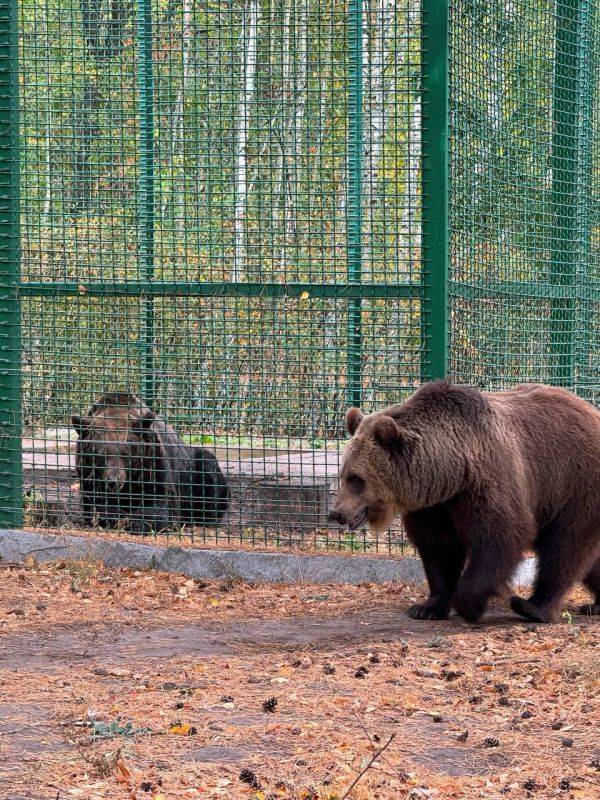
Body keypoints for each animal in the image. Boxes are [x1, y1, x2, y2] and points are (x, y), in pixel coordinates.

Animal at [71, 392, 230, 532]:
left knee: (209, 473)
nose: (112, 482)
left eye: (126, 453)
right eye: (100, 455)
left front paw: (136, 521)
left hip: (194, 467)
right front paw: (120, 517)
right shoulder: (88, 476)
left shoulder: (154, 466)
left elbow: (162, 505)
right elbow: (97, 506)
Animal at [328, 382, 600, 624]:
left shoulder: (486, 483)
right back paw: (594, 605)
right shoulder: (434, 506)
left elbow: (499, 538)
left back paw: (532, 607)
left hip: (574, 486)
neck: (450, 471)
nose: (336, 513)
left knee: (564, 547)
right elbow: (440, 548)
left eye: (357, 479)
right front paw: (427, 607)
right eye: (343, 473)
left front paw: (472, 605)